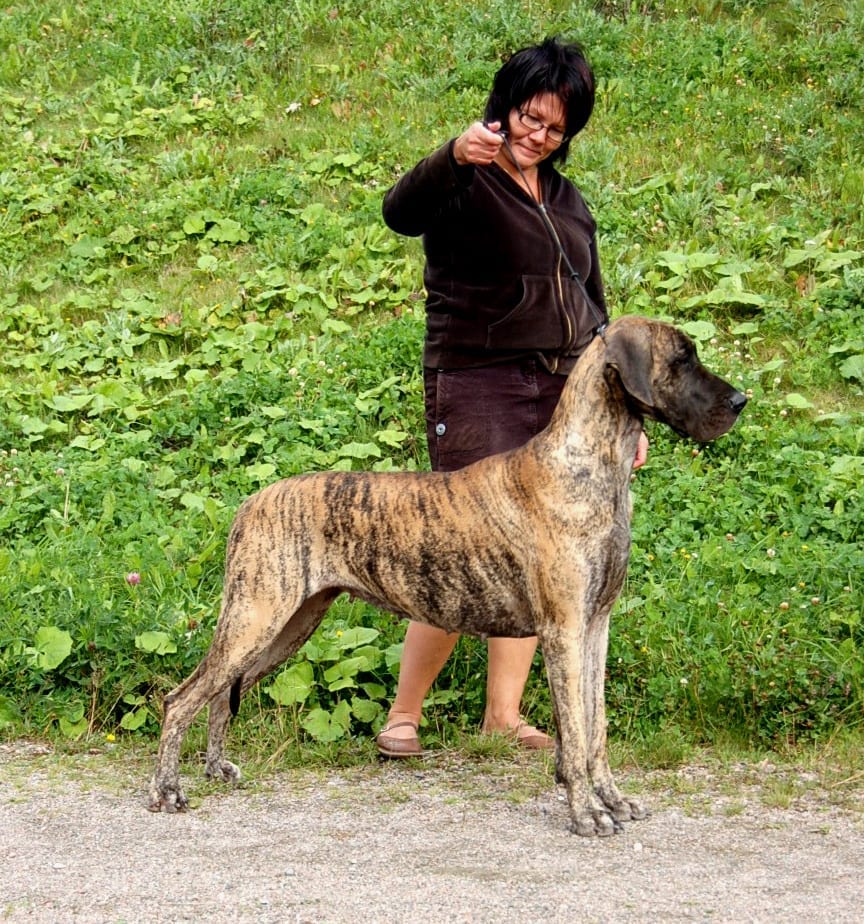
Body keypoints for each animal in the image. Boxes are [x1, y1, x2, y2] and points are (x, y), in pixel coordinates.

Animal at [147, 318, 744, 836]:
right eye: (682, 358)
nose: (741, 401)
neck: (590, 465)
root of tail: (250, 503)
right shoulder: (565, 632)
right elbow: (575, 737)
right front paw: (586, 813)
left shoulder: (595, 627)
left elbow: (595, 731)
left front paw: (614, 801)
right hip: (256, 617)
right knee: (182, 698)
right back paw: (166, 790)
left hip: (288, 626)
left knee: (221, 694)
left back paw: (216, 769)